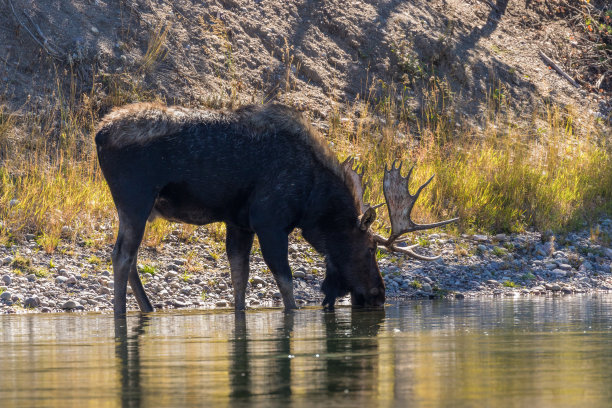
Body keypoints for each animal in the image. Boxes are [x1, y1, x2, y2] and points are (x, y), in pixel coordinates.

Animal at [95, 102, 456, 316]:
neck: (313, 203)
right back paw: (121, 313)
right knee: (122, 255)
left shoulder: (239, 222)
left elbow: (240, 278)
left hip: (135, 207)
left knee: (130, 257)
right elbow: (286, 282)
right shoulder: (270, 221)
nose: (379, 295)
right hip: (136, 198)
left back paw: (148, 309)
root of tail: (99, 134)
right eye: (370, 249)